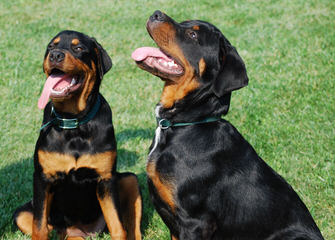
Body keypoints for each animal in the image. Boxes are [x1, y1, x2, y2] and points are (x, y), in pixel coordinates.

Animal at [12, 30, 142, 240]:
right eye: (51, 46)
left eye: (79, 48)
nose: (55, 55)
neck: (74, 123)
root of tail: (78, 231)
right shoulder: (42, 178)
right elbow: (39, 227)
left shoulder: (105, 179)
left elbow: (118, 227)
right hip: (23, 213)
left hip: (129, 179)